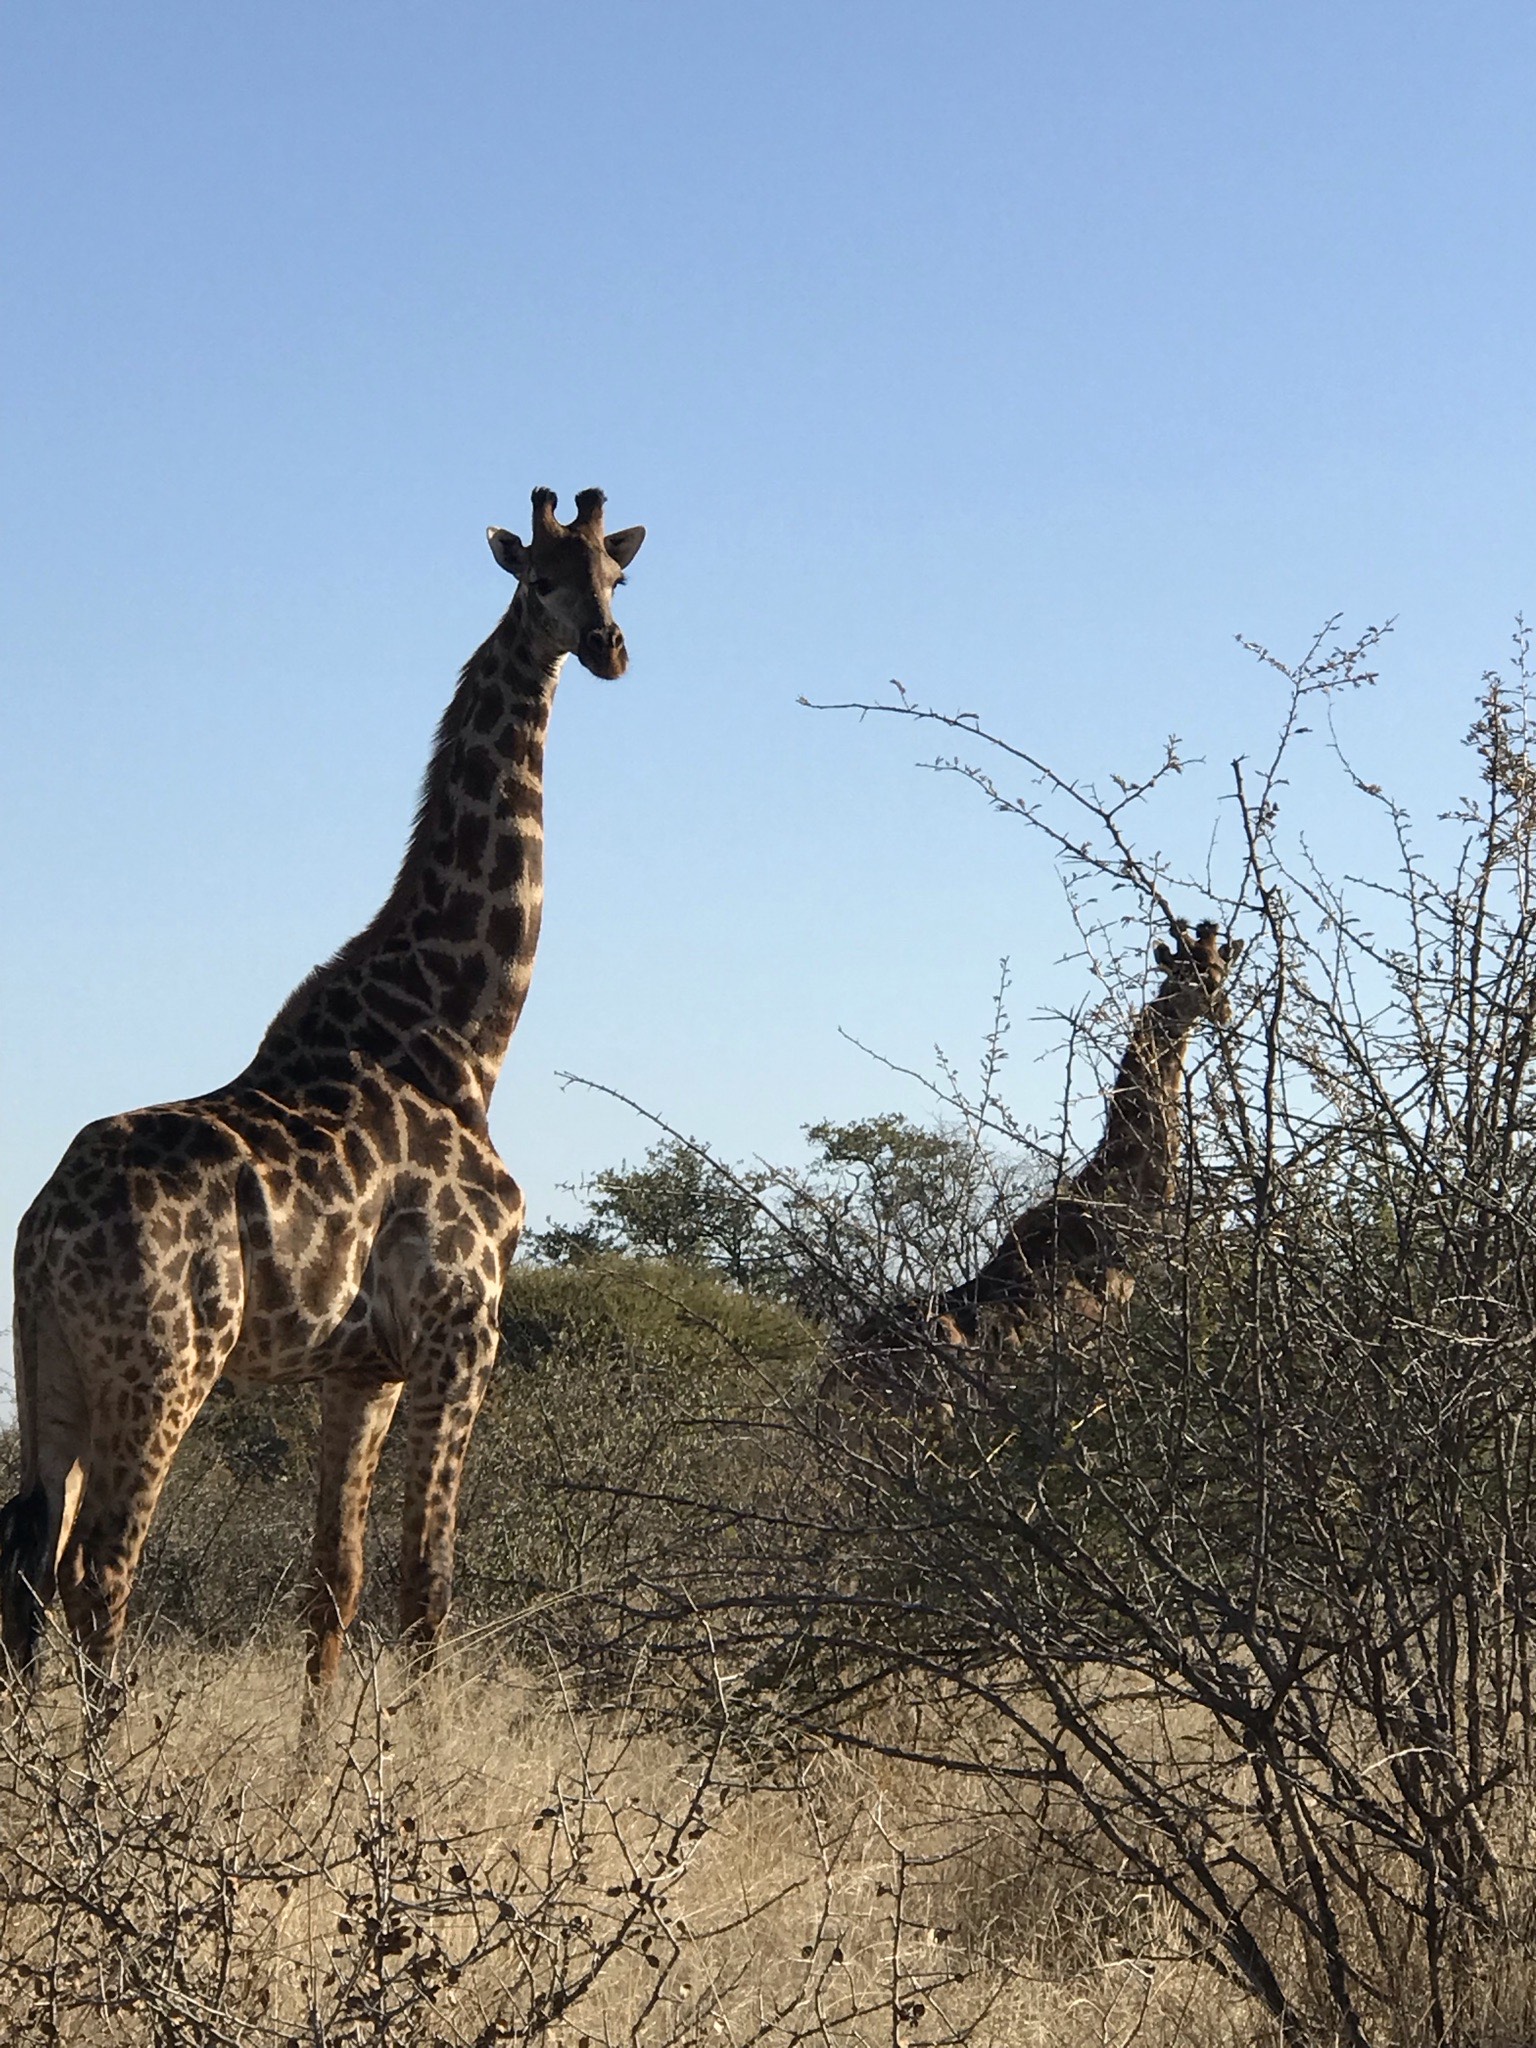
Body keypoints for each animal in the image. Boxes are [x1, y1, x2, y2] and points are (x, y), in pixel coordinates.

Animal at [1, 487, 645, 1697]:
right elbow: (427, 1588)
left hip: (48, 1369)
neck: (462, 1031)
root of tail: (42, 1229)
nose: (607, 648)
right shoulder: (462, 1330)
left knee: (24, 1560)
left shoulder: (361, 1369)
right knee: (100, 1572)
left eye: (617, 576)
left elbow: (331, 1586)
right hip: (165, 1366)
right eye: (537, 578)